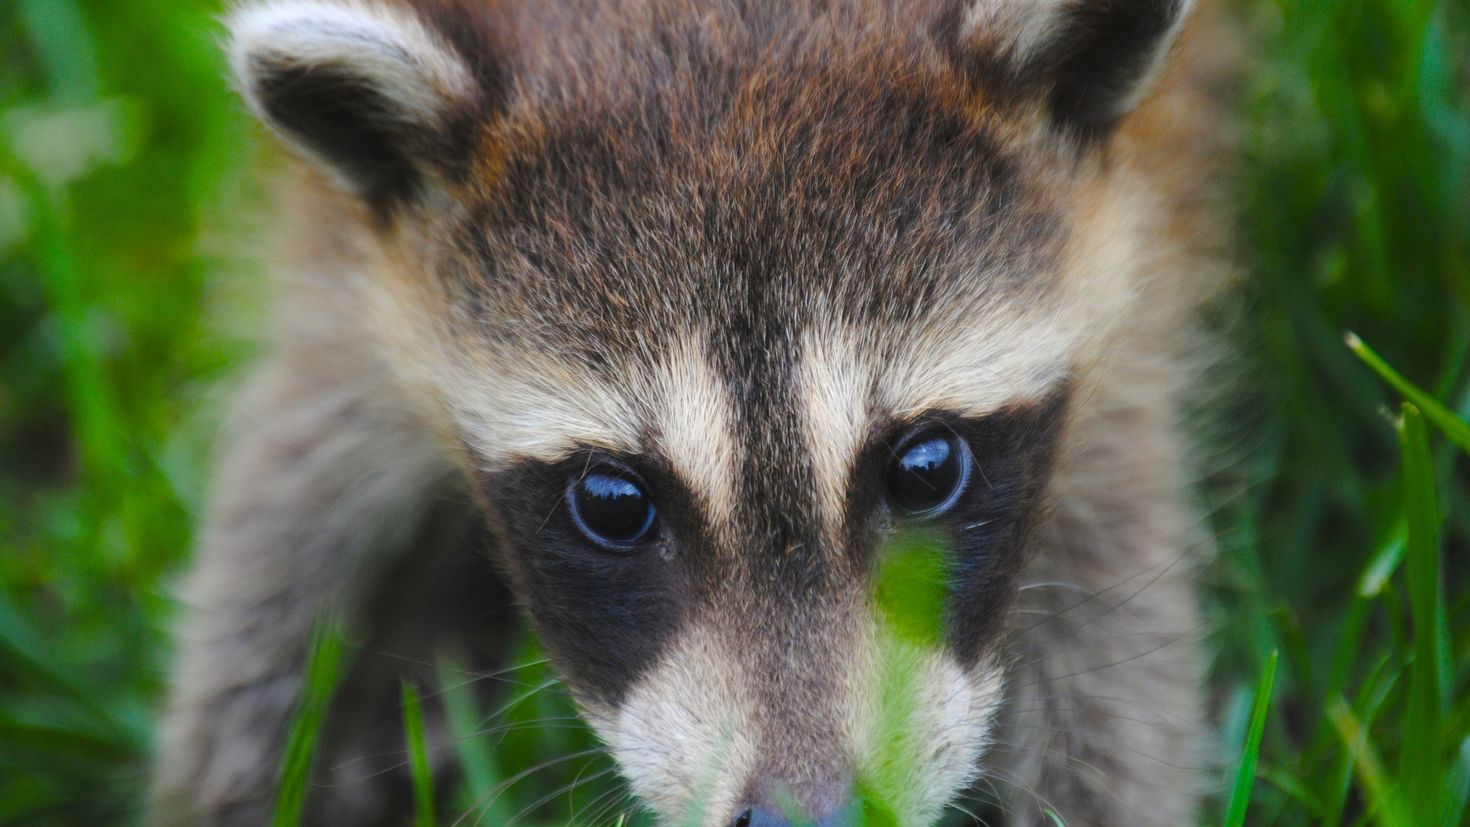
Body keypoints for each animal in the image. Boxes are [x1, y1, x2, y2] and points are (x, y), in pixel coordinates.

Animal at [155, 0, 1234, 822]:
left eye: (924, 468)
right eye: (614, 502)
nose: (813, 820)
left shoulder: (1125, 246)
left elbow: (1107, 612)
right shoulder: (351, 256)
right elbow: (294, 501)